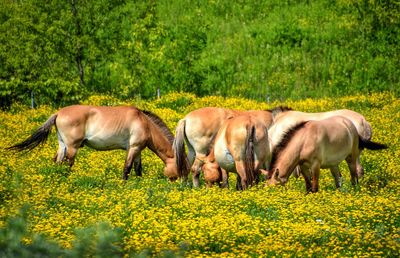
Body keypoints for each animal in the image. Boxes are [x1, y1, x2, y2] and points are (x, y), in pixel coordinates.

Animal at [7, 105, 189, 181]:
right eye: (183, 168)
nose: (182, 185)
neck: (144, 123)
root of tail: (58, 113)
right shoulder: (133, 148)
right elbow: (127, 168)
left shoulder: (137, 150)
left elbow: (138, 170)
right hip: (72, 148)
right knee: (67, 165)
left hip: (62, 145)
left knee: (57, 163)